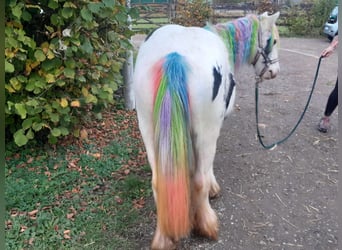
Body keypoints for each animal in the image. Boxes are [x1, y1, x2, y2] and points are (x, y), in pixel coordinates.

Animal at [132, 11, 280, 248]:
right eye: (273, 41)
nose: (274, 71)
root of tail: (174, 55)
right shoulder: (213, 128)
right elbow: (205, 170)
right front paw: (213, 188)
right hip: (205, 131)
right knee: (200, 179)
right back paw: (207, 225)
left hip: (147, 127)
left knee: (157, 182)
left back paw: (163, 238)